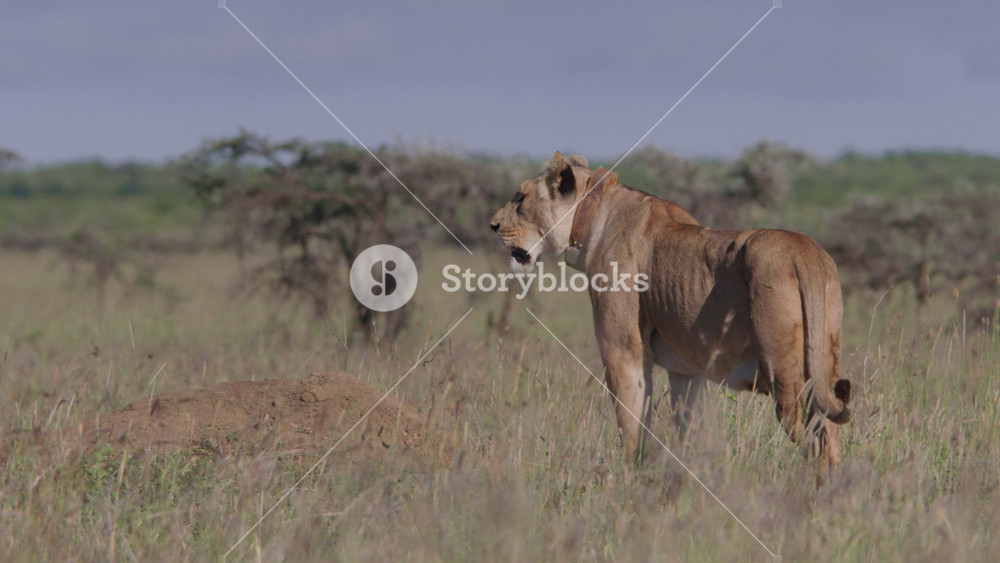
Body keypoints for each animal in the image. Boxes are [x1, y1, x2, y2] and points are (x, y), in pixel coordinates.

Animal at [490, 152, 852, 474]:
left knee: (816, 443)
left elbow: (631, 423)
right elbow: (686, 427)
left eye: (520, 197)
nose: (493, 225)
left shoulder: (624, 352)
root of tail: (804, 249)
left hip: (786, 378)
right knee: (832, 438)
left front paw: (629, 480)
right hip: (823, 360)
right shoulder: (685, 370)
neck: (592, 217)